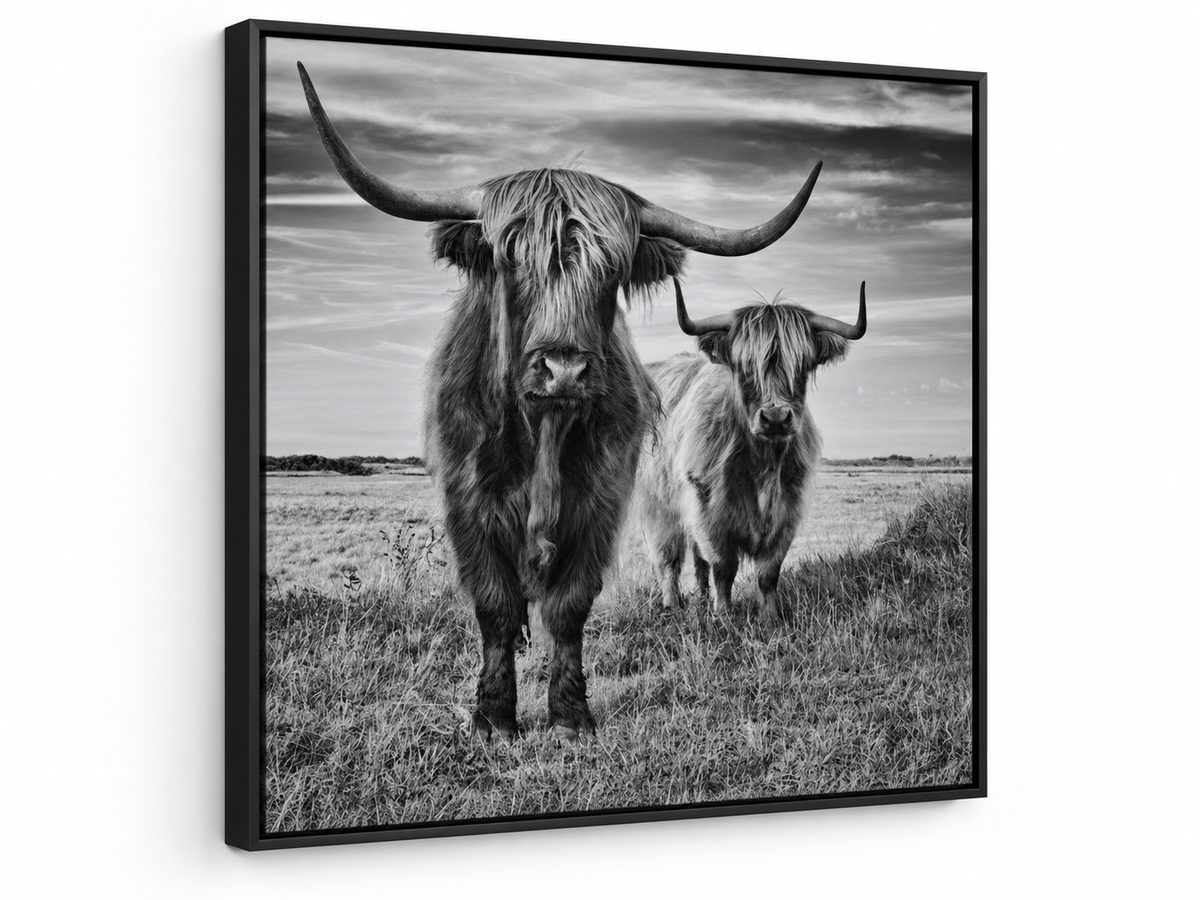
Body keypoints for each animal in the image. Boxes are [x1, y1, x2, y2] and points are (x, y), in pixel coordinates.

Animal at [297, 62, 824, 741]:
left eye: (612, 271)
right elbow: (495, 605)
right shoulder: (470, 505)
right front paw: (494, 717)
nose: (564, 369)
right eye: (511, 260)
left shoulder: (599, 502)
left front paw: (570, 714)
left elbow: (570, 605)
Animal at [637, 278, 866, 626]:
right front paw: (724, 616)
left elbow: (768, 571)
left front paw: (770, 617)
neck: (763, 462)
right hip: (658, 503)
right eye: (745, 368)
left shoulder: (788, 508)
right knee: (669, 557)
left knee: (696, 557)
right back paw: (672, 603)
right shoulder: (708, 507)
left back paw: (700, 598)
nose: (775, 418)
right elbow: (723, 565)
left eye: (802, 367)